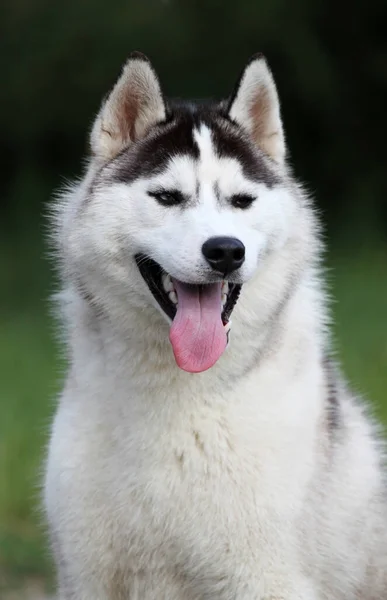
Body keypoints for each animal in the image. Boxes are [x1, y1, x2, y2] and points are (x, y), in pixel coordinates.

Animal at [44, 54, 386, 596]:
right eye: (167, 197)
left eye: (242, 201)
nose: (226, 251)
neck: (180, 393)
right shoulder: (88, 575)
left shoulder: (264, 578)